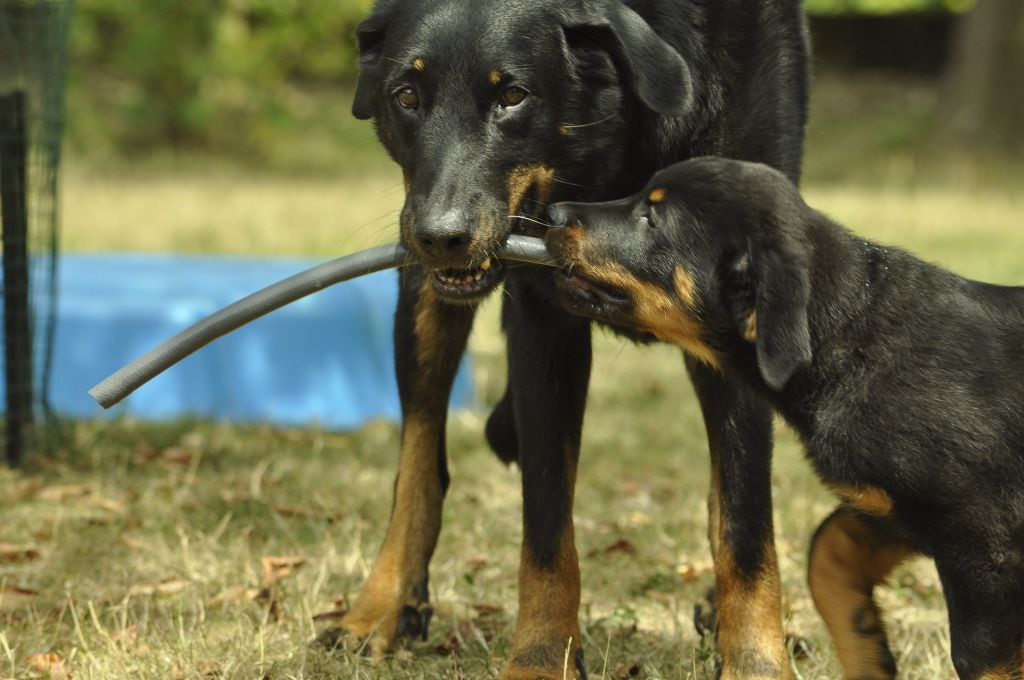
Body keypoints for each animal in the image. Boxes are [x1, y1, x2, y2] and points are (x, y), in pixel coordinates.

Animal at [323, 2, 811, 675]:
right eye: (407, 96)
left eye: (514, 96)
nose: (441, 237)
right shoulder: (541, 320)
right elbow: (546, 520)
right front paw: (541, 656)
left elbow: (744, 521)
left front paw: (756, 660)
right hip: (421, 285)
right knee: (418, 460)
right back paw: (382, 607)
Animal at [548, 156, 1024, 675]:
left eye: (651, 218)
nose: (553, 213)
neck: (851, 334)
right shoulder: (891, 509)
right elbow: (825, 554)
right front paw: (868, 653)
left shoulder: (978, 533)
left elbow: (980, 656)